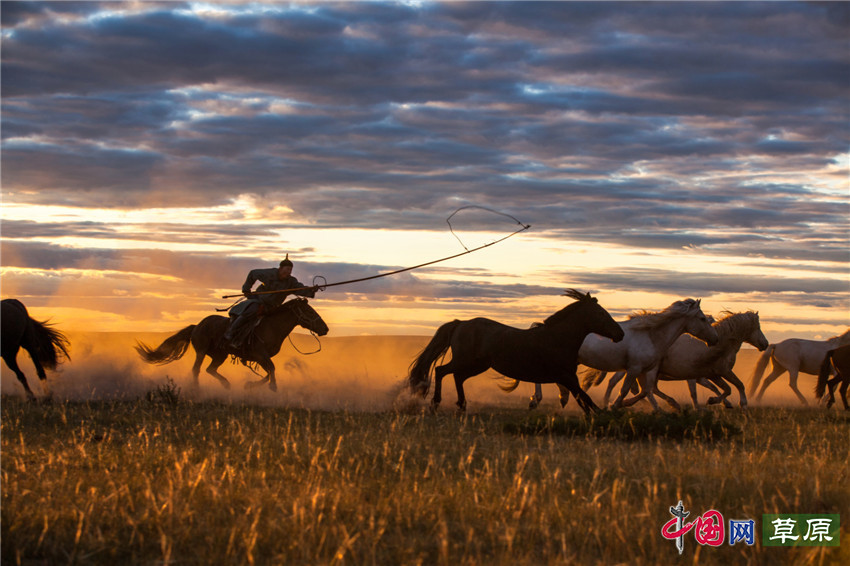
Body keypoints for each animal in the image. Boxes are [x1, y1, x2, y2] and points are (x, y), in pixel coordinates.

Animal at [135, 300, 328, 392]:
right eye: (309, 311)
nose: (325, 328)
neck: (271, 326)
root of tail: (197, 325)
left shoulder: (260, 357)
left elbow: (269, 371)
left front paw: (250, 385)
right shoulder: (259, 354)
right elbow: (272, 369)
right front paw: (272, 387)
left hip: (220, 355)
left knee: (210, 369)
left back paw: (226, 384)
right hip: (201, 351)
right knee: (196, 370)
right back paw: (196, 389)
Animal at [408, 290, 628, 414]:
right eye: (601, 313)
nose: (620, 333)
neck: (558, 338)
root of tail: (461, 323)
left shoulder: (567, 378)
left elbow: (582, 399)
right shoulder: (566, 376)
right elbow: (585, 397)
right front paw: (603, 416)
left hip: (478, 365)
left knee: (457, 377)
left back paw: (462, 405)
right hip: (466, 361)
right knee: (442, 371)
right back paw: (435, 403)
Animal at [510, 298, 716, 412]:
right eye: (702, 318)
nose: (714, 339)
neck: (650, 335)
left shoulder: (646, 371)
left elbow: (645, 391)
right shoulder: (633, 369)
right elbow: (625, 390)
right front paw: (614, 407)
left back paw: (562, 397)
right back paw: (536, 401)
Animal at [600, 312, 764, 410]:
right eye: (758, 327)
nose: (765, 343)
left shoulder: (710, 374)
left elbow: (724, 388)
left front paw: (717, 402)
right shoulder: (714, 373)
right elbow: (736, 386)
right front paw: (742, 404)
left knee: (649, 389)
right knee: (643, 389)